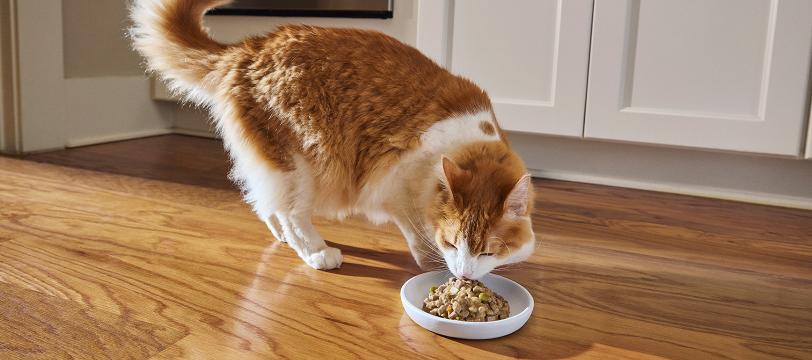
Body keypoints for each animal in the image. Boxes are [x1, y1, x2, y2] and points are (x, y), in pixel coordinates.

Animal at [130, 0, 536, 278]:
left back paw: (282, 237)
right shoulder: (394, 180)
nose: (464, 274)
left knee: (264, 202)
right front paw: (431, 262)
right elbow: (417, 230)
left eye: (488, 252)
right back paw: (317, 253)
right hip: (302, 161)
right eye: (455, 242)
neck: (470, 143)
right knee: (292, 213)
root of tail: (250, 47)